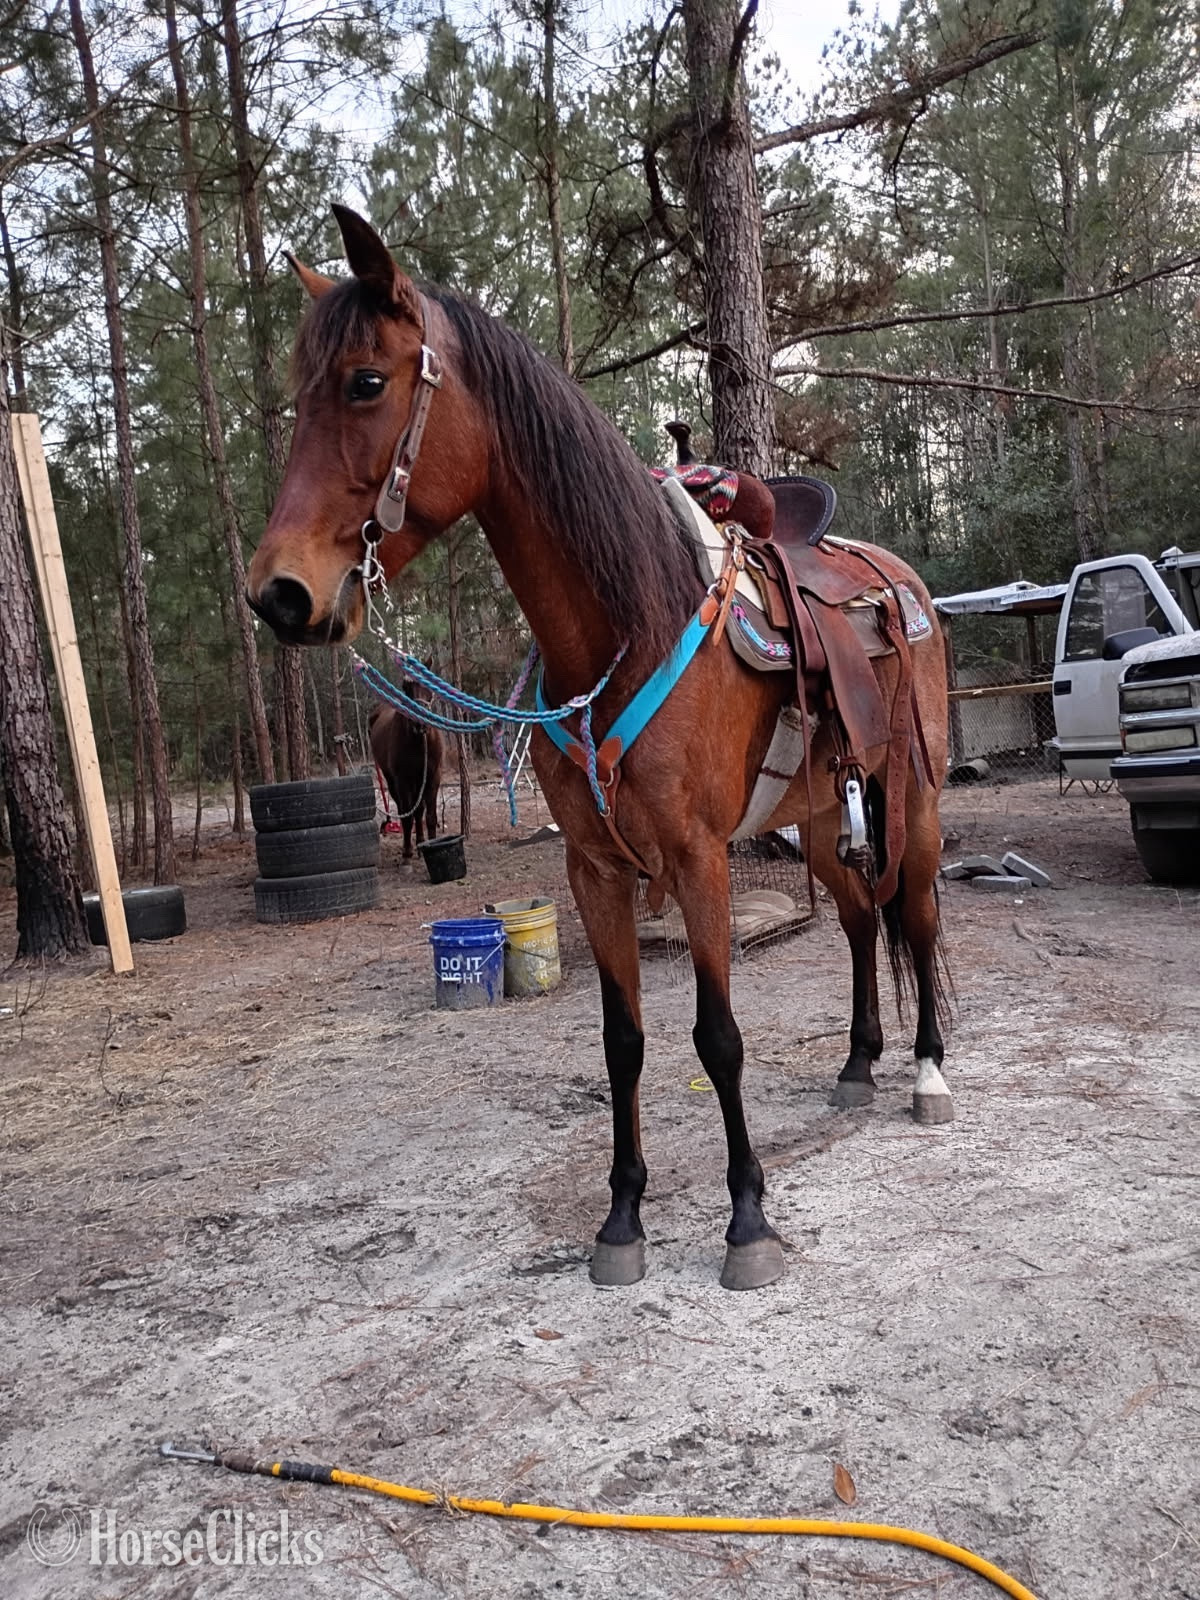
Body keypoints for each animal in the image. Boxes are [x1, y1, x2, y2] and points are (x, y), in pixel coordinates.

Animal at [369, 687, 442, 860]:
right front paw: (407, 852)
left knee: (418, 811)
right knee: (405, 811)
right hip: (394, 783)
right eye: (406, 688)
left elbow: (430, 817)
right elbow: (408, 817)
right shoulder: (403, 781)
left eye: (429, 690)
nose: (420, 722)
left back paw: (421, 843)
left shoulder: (433, 777)